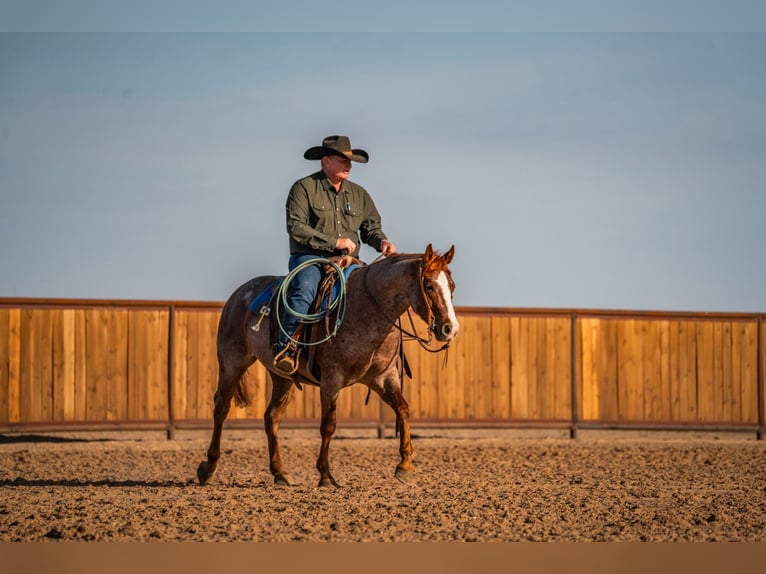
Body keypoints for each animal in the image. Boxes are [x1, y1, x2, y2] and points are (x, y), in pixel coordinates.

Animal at [196, 244, 459, 487]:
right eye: (429, 286)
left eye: (452, 286)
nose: (450, 329)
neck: (368, 308)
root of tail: (239, 294)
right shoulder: (332, 379)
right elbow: (328, 425)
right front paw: (325, 475)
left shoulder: (384, 378)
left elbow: (403, 409)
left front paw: (405, 466)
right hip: (232, 363)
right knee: (221, 408)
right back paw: (208, 467)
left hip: (282, 377)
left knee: (272, 417)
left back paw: (280, 472)